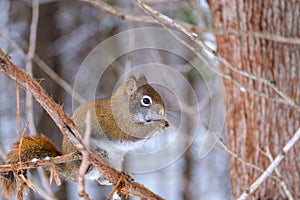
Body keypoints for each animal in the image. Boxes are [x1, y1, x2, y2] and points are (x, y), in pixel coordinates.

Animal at [0, 75, 169, 198]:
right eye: (146, 100)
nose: (162, 112)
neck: (123, 108)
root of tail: (70, 170)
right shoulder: (118, 125)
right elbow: (134, 134)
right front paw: (158, 125)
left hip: (115, 160)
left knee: (101, 180)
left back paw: (123, 176)